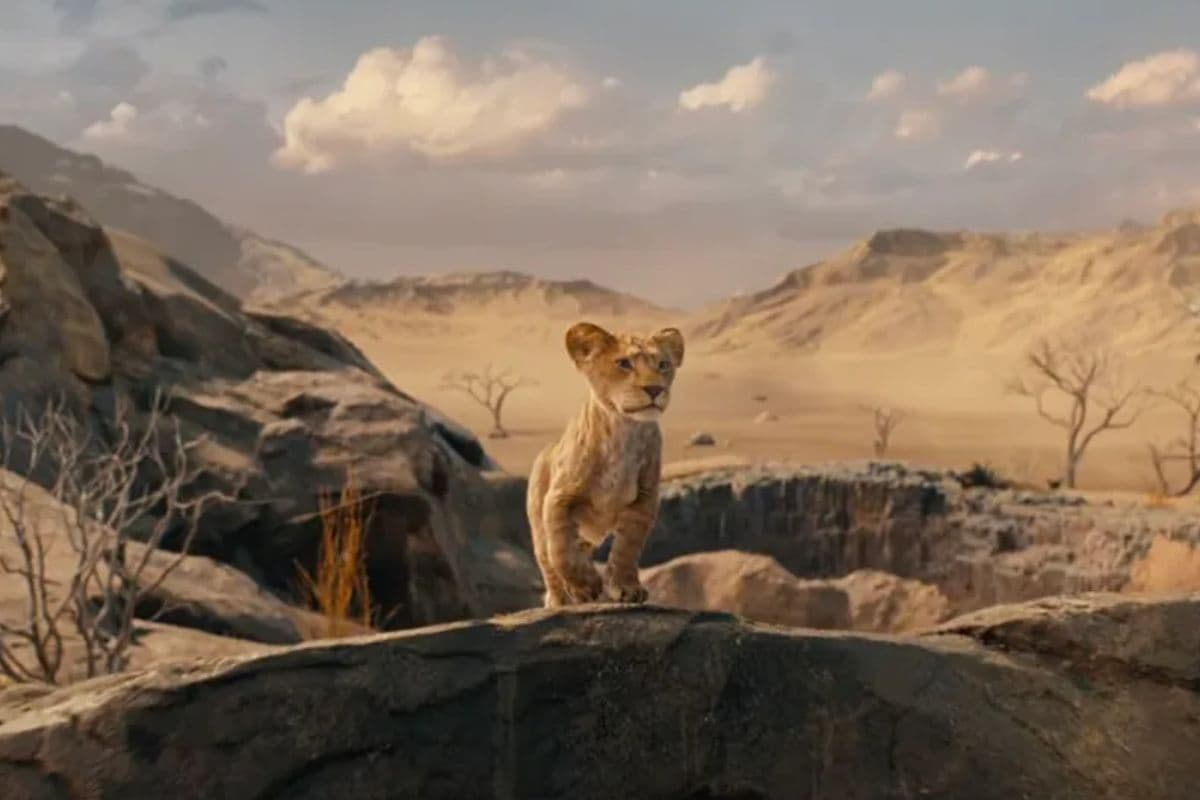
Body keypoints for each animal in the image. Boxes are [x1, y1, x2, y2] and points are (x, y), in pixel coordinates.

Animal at [526, 321, 685, 607]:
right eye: (623, 363)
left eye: (663, 364)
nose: (655, 389)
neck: (623, 430)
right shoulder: (559, 498)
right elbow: (561, 549)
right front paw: (585, 585)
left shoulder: (644, 501)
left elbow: (627, 548)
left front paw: (626, 588)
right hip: (538, 518)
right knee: (547, 558)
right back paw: (560, 599)